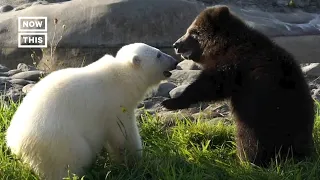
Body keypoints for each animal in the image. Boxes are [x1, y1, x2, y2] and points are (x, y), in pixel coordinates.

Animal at [4, 42, 178, 180]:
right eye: (158, 54)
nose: (175, 62)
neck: (120, 75)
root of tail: (16, 145)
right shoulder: (114, 105)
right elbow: (123, 135)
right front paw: (136, 160)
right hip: (59, 142)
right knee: (72, 160)